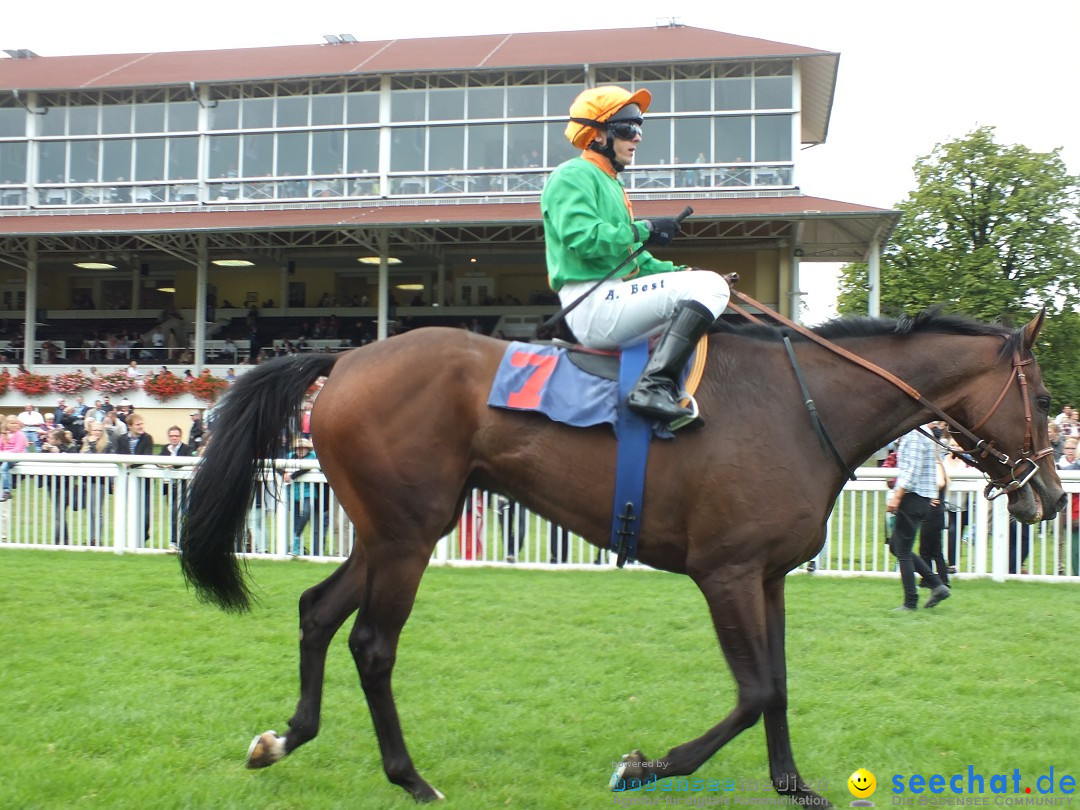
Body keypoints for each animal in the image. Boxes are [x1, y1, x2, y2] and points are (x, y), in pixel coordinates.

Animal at [177, 308, 1062, 807]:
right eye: (1048, 399)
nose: (1050, 496)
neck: (802, 406)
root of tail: (349, 357)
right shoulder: (725, 572)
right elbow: (752, 692)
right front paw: (644, 766)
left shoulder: (768, 575)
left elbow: (778, 689)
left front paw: (796, 787)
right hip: (407, 535)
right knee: (371, 643)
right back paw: (410, 777)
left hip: (392, 528)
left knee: (318, 613)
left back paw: (284, 739)